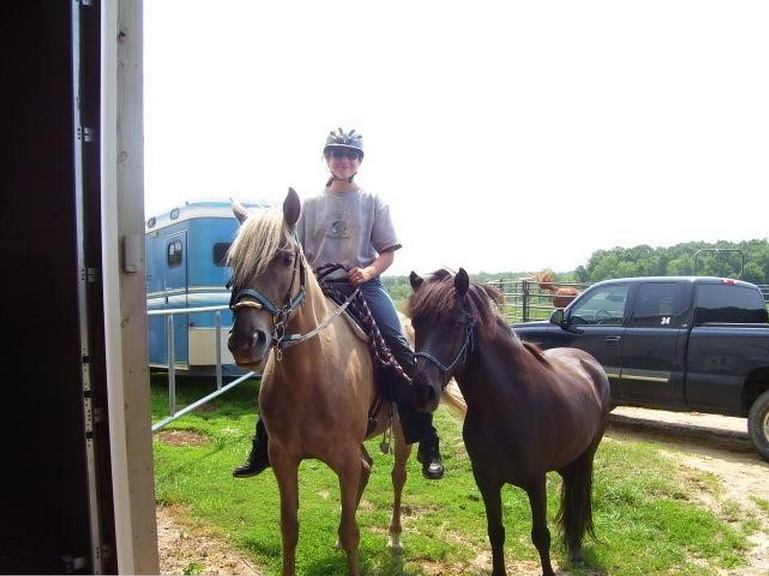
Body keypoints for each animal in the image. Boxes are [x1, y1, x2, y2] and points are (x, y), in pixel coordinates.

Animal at [404, 268, 608, 576]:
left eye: (456, 323)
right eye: (416, 322)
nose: (421, 392)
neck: (507, 405)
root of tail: (589, 363)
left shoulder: (536, 481)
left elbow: (540, 536)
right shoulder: (486, 481)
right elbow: (496, 532)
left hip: (585, 457)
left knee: (579, 495)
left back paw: (575, 550)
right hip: (567, 459)